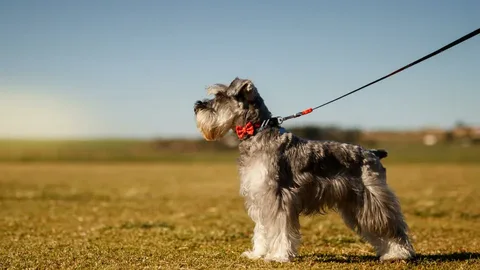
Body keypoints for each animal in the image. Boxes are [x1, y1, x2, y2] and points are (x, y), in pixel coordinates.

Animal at [193, 77, 414, 262]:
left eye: (220, 96)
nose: (197, 105)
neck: (257, 132)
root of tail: (373, 153)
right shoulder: (260, 197)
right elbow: (262, 229)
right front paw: (257, 253)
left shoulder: (278, 197)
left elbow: (280, 229)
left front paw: (278, 256)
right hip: (355, 206)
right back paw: (389, 253)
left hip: (373, 201)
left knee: (394, 228)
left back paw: (399, 253)